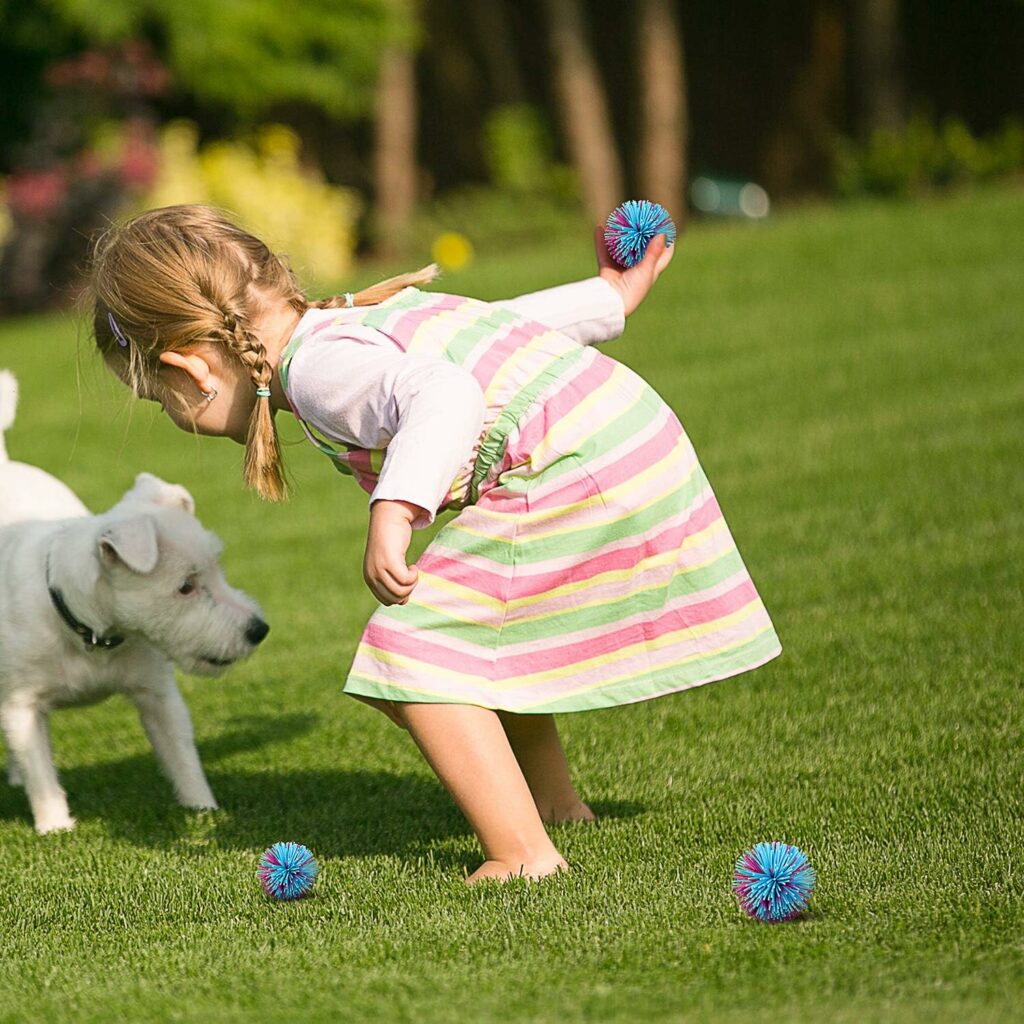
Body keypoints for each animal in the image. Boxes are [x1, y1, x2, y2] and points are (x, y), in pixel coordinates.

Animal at [0, 372, 268, 835]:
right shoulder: (22, 706)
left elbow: (182, 755)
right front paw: (55, 826)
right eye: (185, 587)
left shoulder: (157, 693)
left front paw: (203, 808)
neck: (92, 633)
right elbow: (40, 770)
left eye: (217, 569)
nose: (258, 630)